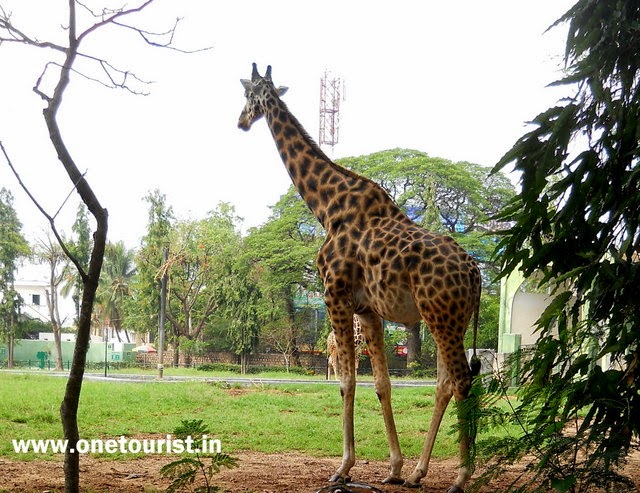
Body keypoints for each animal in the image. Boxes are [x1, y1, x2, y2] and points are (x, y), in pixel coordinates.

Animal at [239, 64, 480, 492]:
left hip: (441, 317)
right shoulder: (368, 309)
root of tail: (475, 272)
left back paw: (461, 476)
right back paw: (418, 473)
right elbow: (382, 384)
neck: (326, 207)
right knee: (446, 383)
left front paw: (343, 468)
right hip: (450, 319)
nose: (241, 121)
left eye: (248, 96)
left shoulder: (335, 295)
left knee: (462, 380)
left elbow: (347, 382)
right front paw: (395, 468)